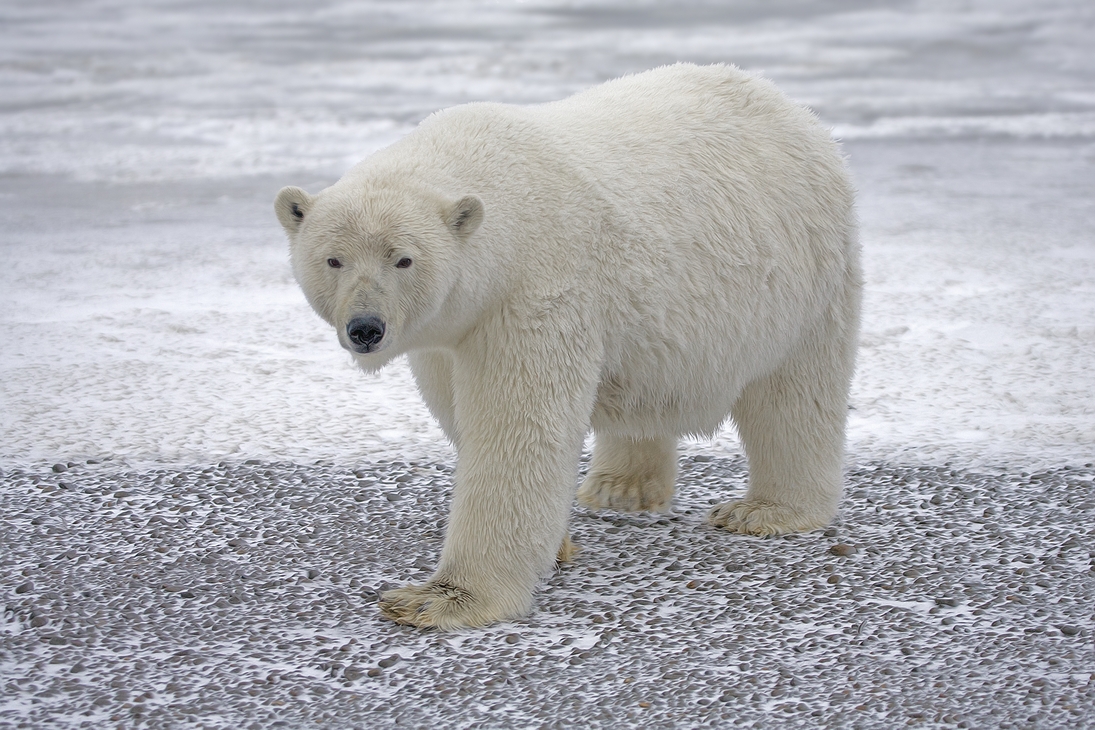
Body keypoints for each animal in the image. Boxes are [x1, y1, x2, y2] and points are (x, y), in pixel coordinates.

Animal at [273, 64, 854, 630]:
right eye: (333, 259)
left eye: (403, 258)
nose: (365, 328)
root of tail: (786, 104)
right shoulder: (447, 329)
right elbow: (461, 413)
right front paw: (556, 545)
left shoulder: (536, 290)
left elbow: (517, 430)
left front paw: (438, 600)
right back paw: (621, 486)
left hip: (802, 274)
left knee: (794, 395)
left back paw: (765, 510)